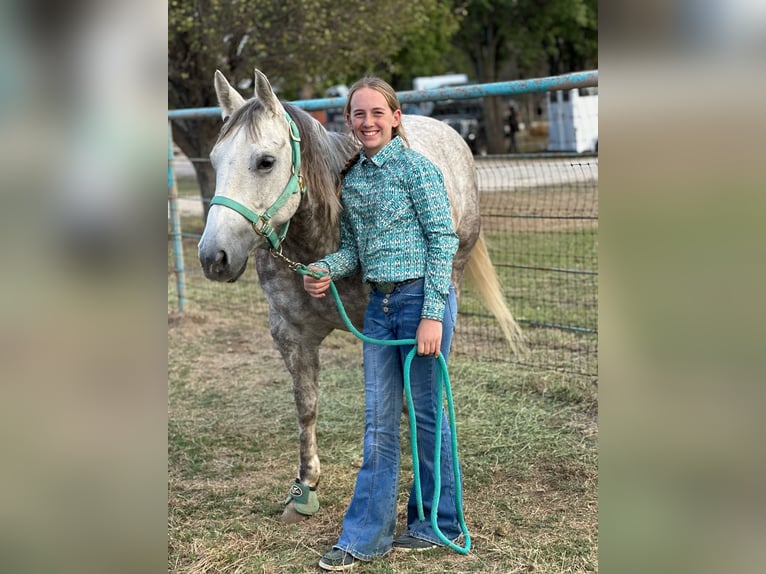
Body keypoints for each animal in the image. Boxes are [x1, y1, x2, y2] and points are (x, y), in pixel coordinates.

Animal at [198, 70, 528, 524]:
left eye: (265, 161)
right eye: (214, 161)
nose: (213, 257)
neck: (324, 237)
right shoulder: (291, 336)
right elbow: (307, 405)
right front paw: (305, 488)